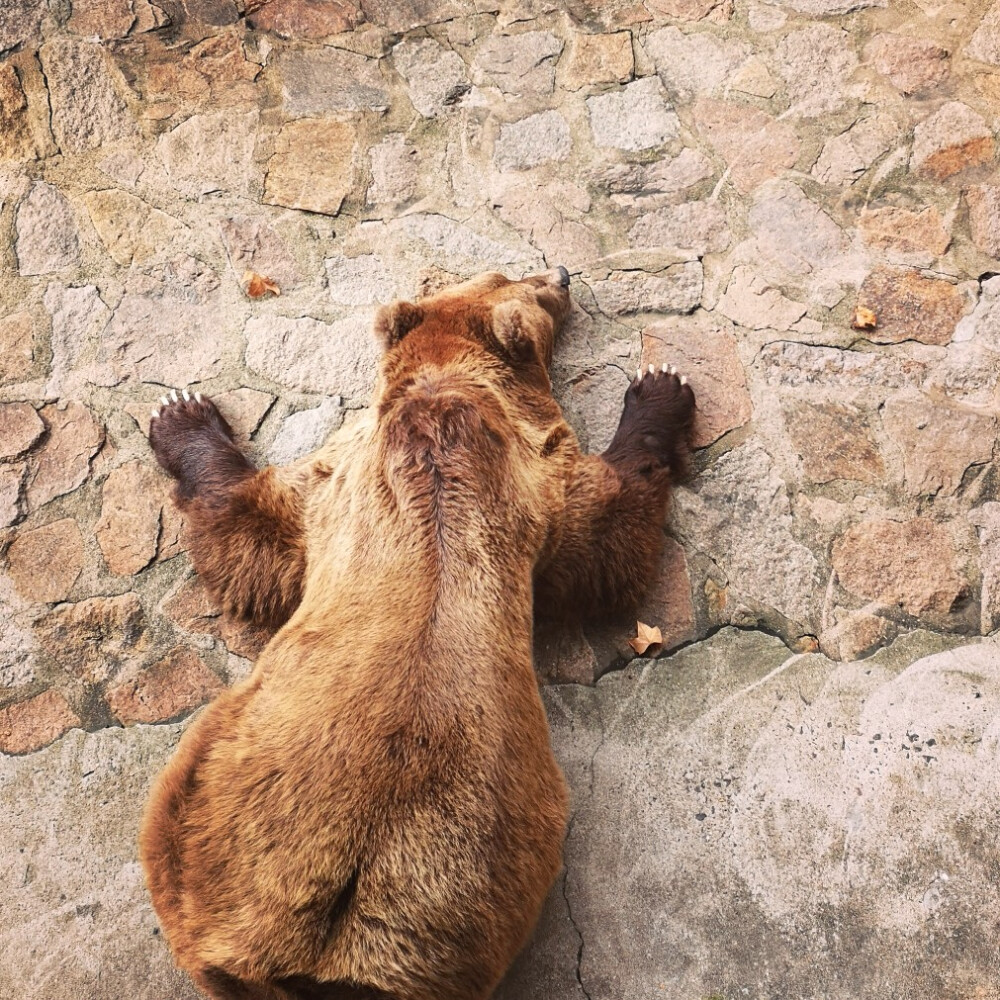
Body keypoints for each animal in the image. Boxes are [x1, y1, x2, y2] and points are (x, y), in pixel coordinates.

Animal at [139, 266, 696, 1000]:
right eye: (520, 279)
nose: (562, 273)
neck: (446, 392)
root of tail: (317, 952)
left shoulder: (511, 489)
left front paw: (661, 383)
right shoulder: (375, 477)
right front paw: (179, 409)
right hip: (219, 817)